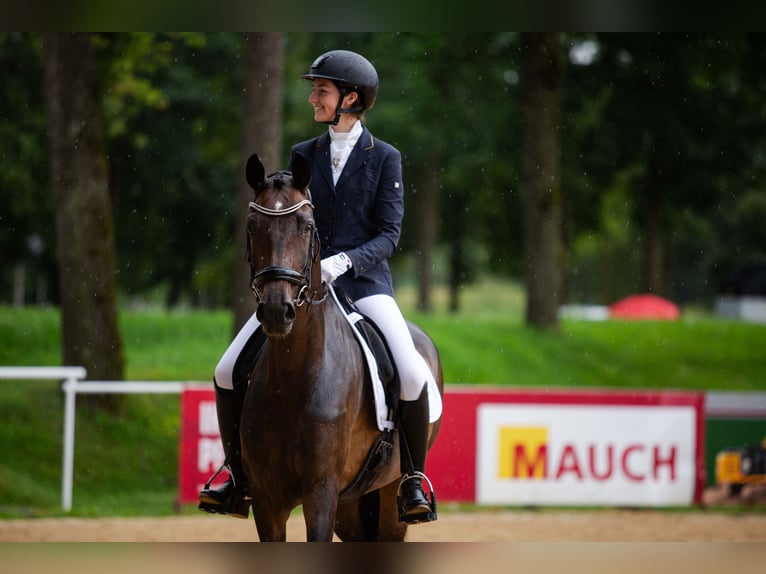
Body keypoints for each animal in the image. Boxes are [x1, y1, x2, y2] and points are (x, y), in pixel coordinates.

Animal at [240, 154, 444, 544]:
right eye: (252, 226)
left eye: (306, 226)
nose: (276, 310)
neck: (292, 375)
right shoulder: (266, 498)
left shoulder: (321, 491)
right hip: (350, 507)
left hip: (388, 494)